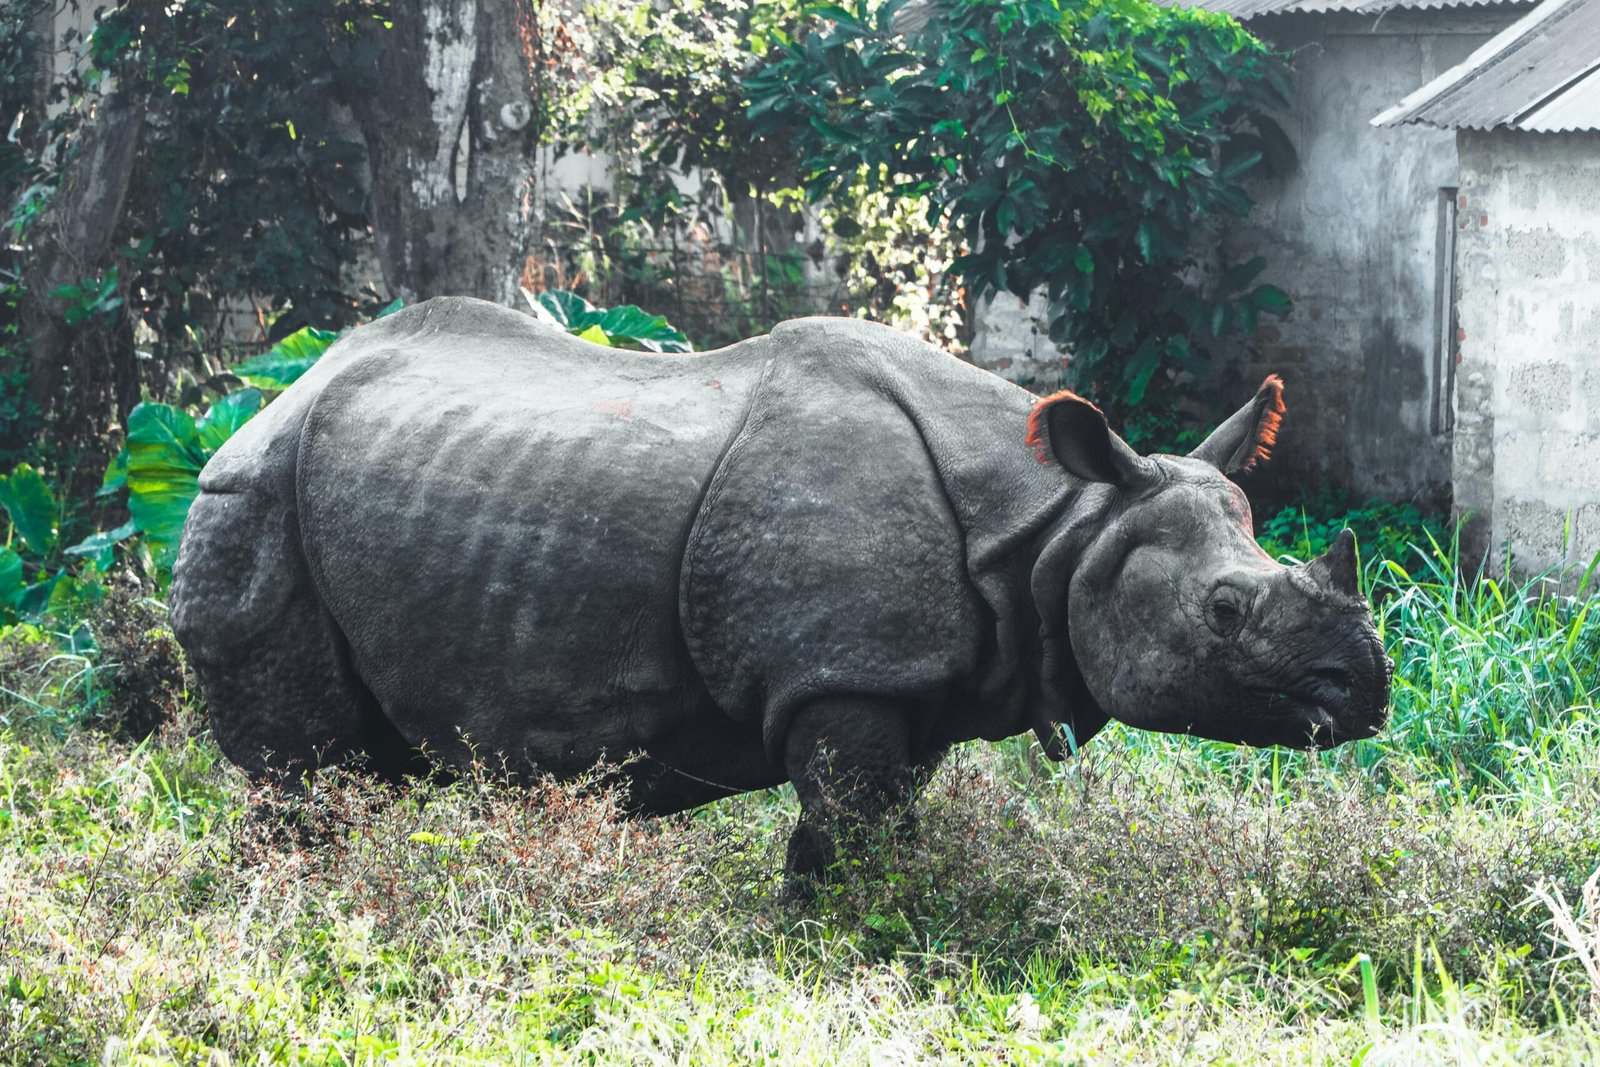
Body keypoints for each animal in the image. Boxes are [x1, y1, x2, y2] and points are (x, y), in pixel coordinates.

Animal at [170, 297, 1391, 883]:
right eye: (1223, 613)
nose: (1366, 690)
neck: (1055, 526)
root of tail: (278, 393)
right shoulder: (840, 672)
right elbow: (846, 834)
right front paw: (842, 951)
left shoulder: (908, 682)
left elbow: (863, 832)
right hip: (249, 501)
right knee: (308, 787)